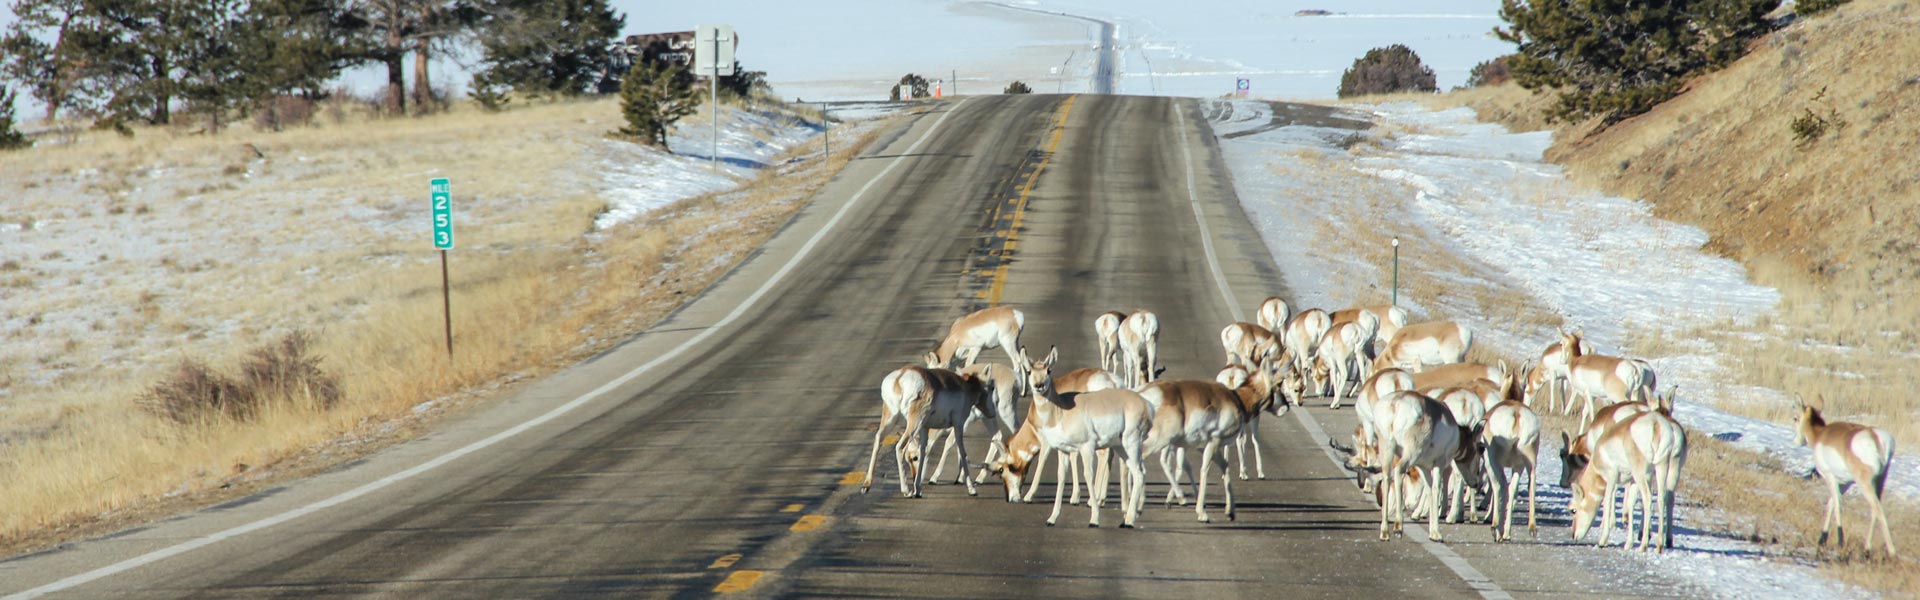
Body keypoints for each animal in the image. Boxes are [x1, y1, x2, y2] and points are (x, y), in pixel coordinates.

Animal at [867, 365, 998, 496]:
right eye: (992, 387)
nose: (993, 413)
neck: (966, 386)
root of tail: (900, 376)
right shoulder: (959, 425)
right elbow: (962, 452)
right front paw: (971, 489)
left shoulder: (925, 427)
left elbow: (923, 451)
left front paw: (918, 489)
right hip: (914, 423)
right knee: (899, 447)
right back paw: (905, 490)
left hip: (891, 417)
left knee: (878, 438)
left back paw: (866, 485)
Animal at [1006, 346, 1136, 523]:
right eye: (1029, 371)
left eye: (1007, 468)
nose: (1039, 386)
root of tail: (1112, 382)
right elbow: (1073, 460)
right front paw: (1075, 496)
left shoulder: (1047, 440)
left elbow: (1042, 460)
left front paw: (1029, 495)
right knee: (1116, 458)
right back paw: (1111, 501)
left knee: (1104, 456)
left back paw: (1094, 501)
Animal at [1482, 396, 1543, 542]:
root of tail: (1516, 413)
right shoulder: (1517, 467)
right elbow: (1512, 488)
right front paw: (1506, 533)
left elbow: (1498, 487)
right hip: (1530, 463)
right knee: (1528, 485)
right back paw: (1531, 528)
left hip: (1493, 463)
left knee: (1499, 486)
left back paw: (1496, 529)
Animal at [1566, 396, 1689, 550]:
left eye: (1573, 510)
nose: (1573, 535)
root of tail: (1656, 424)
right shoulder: (1632, 481)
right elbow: (1631, 504)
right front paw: (1628, 543)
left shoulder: (1612, 478)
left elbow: (1608, 500)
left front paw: (1603, 539)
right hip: (1663, 468)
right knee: (1663, 498)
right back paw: (1661, 544)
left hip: (1642, 473)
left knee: (1648, 498)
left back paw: (1644, 545)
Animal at [1789, 396, 1896, 553]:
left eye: (1795, 418)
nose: (1796, 442)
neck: (1820, 435)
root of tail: (1874, 436)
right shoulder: (1846, 483)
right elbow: (1831, 503)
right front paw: (1822, 539)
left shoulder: (1830, 477)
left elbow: (1837, 503)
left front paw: (1840, 541)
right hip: (1879, 481)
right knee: (1874, 510)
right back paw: (1867, 547)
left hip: (1864, 483)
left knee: (1877, 509)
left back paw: (1891, 551)